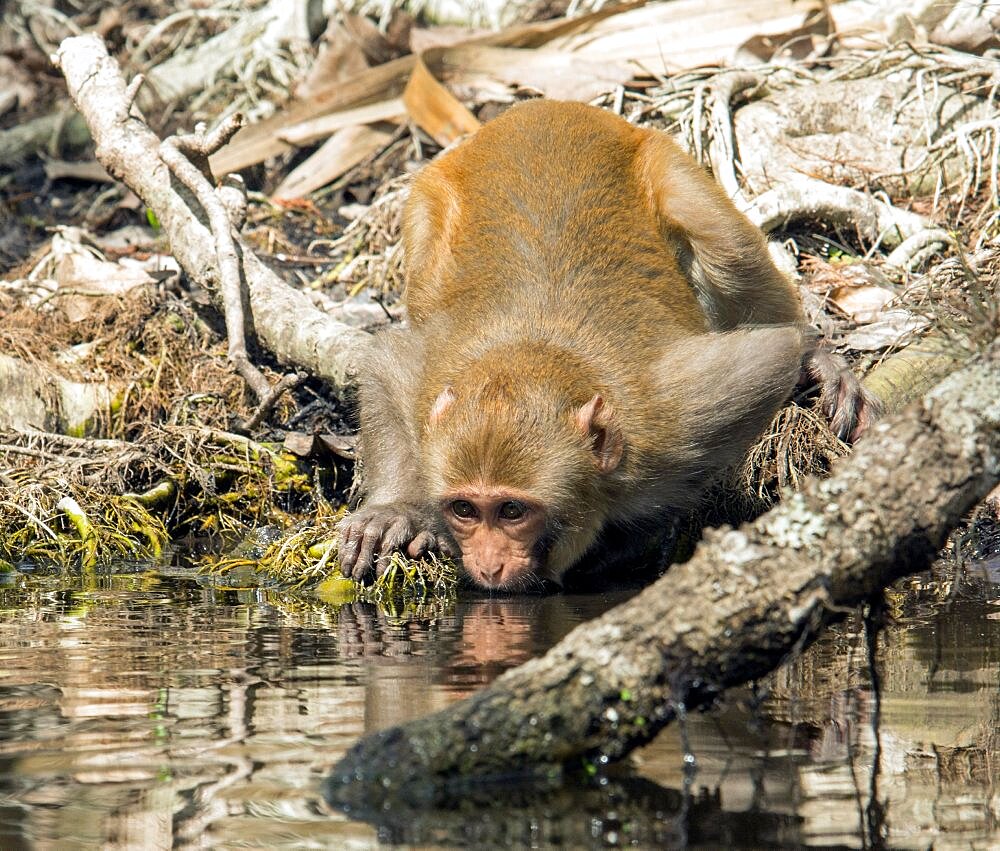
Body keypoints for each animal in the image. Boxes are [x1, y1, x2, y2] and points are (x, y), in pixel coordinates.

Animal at [336, 100, 876, 588]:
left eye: (511, 511)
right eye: (465, 509)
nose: (488, 566)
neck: (534, 354)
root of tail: (541, 109)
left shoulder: (673, 419)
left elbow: (774, 354)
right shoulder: (426, 392)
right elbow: (385, 364)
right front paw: (398, 510)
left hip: (667, 163)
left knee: (722, 243)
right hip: (427, 204)